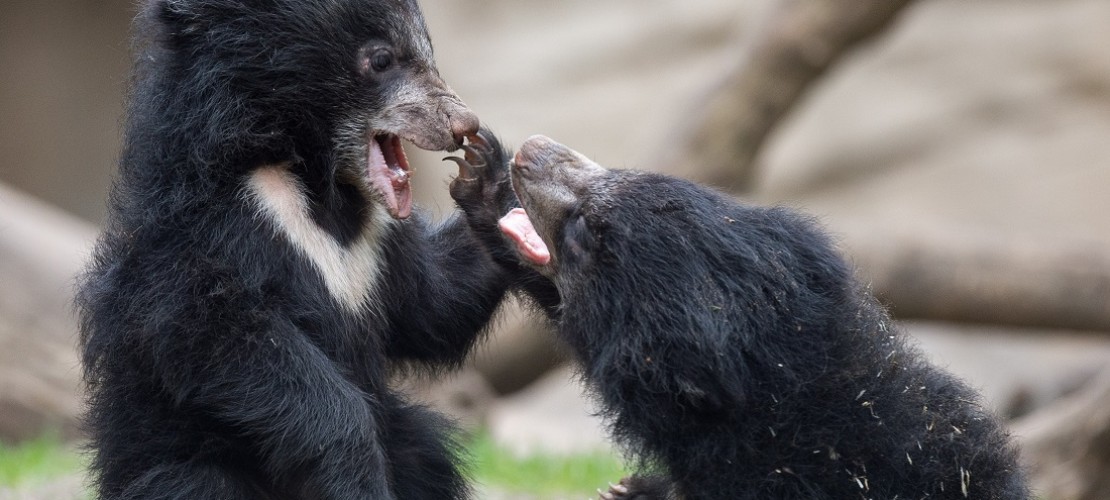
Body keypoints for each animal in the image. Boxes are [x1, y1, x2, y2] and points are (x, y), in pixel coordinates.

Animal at [76, 1, 513, 498]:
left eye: (427, 52)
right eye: (382, 59)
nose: (463, 125)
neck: (317, 181)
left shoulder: (381, 241)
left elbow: (434, 305)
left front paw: (490, 181)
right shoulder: (207, 231)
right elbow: (219, 333)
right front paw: (350, 472)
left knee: (425, 456)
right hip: (174, 456)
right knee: (196, 482)